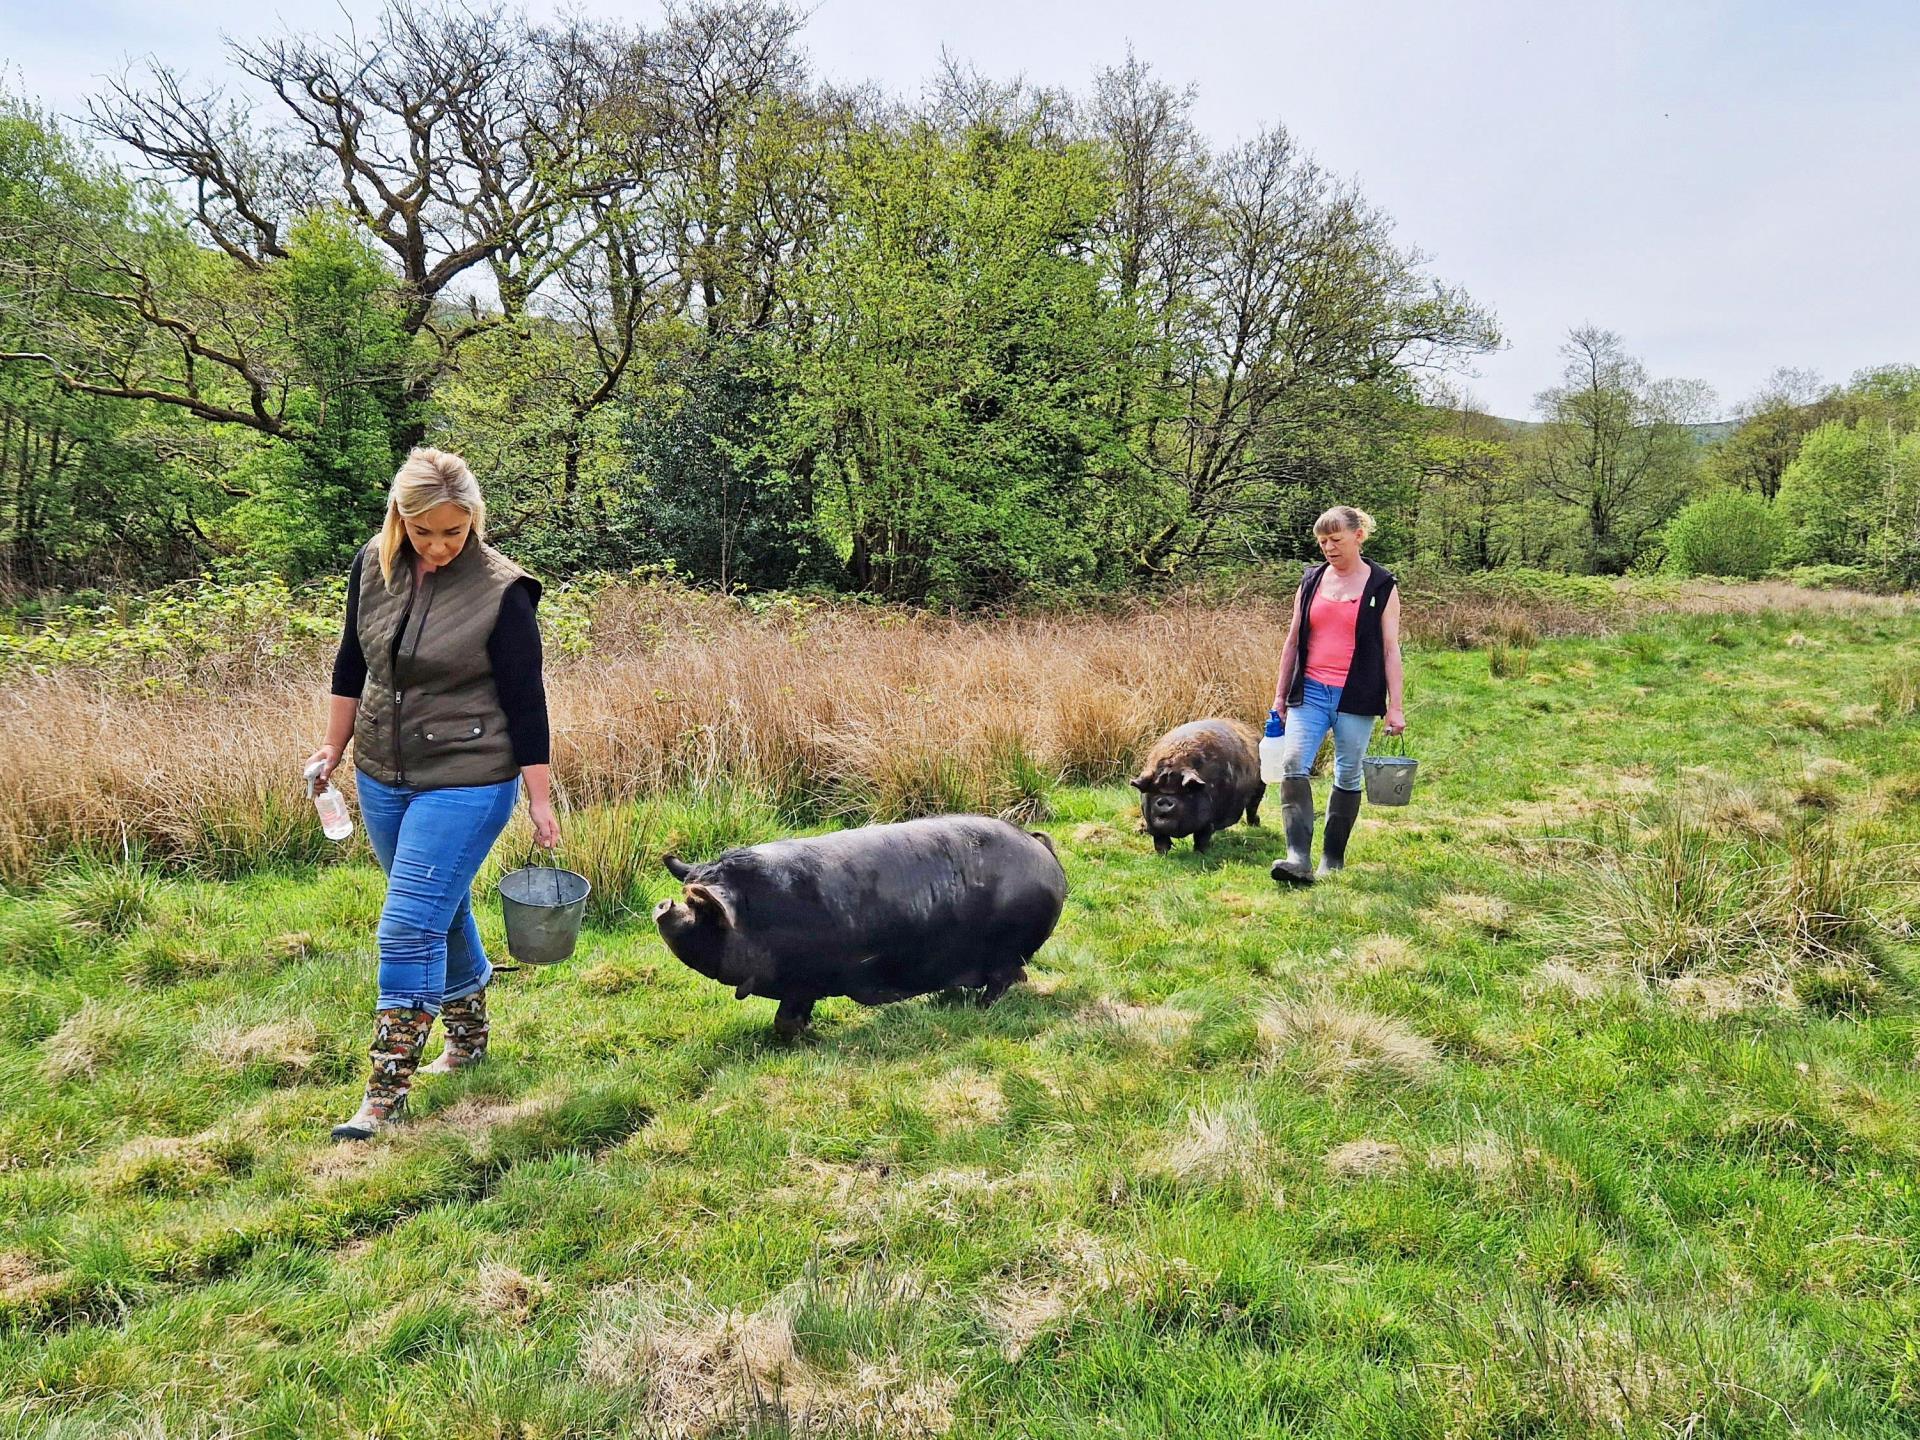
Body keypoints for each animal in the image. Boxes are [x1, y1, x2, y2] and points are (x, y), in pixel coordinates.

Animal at [652, 817, 1075, 1044]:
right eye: (687, 894)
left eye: (701, 907)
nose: (664, 904)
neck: (759, 917)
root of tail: (1040, 846)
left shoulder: (803, 981)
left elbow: (787, 1017)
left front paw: (799, 1039)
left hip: (1009, 949)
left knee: (1004, 979)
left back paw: (981, 1007)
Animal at [1128, 718, 1267, 852]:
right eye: (1154, 790)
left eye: (1185, 791)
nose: (1164, 800)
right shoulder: (1152, 825)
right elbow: (1160, 840)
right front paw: (1162, 854)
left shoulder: (1209, 820)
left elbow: (1201, 837)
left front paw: (1200, 853)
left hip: (1260, 787)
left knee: (1252, 807)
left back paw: (1256, 824)